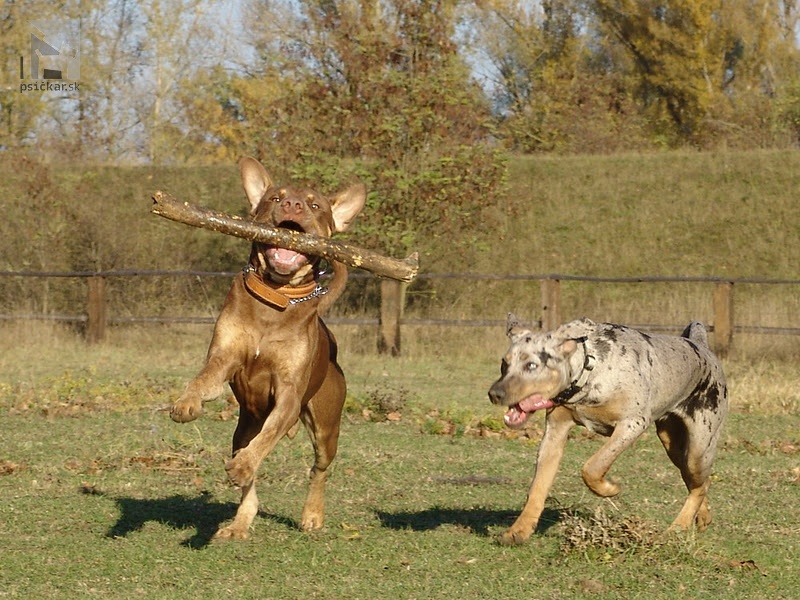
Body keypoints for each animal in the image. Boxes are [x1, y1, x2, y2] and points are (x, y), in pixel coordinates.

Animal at [173, 155, 368, 540]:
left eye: (315, 205)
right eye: (275, 198)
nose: (292, 205)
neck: (276, 298)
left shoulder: (289, 394)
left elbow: (266, 441)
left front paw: (246, 464)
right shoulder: (224, 358)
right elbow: (204, 379)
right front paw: (186, 402)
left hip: (326, 425)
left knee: (318, 469)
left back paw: (311, 514)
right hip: (243, 425)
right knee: (249, 475)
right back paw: (239, 523)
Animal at [484, 316, 728, 548]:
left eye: (532, 366)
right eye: (504, 364)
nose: (494, 393)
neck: (590, 371)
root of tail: (701, 346)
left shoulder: (631, 424)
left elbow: (592, 467)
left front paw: (610, 489)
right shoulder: (555, 433)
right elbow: (537, 488)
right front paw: (519, 530)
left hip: (699, 448)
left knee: (699, 486)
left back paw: (678, 526)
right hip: (674, 446)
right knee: (698, 482)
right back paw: (702, 516)